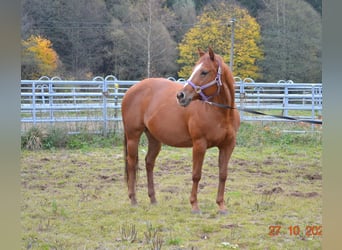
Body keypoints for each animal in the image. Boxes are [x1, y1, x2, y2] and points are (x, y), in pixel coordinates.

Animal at [121, 47, 239, 213]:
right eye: (194, 70)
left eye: (204, 72)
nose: (181, 95)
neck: (221, 112)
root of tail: (130, 90)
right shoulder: (199, 144)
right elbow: (196, 175)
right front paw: (194, 205)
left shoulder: (228, 146)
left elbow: (223, 174)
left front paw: (221, 206)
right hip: (133, 136)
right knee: (132, 164)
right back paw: (133, 199)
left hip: (154, 139)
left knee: (149, 163)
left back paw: (153, 199)